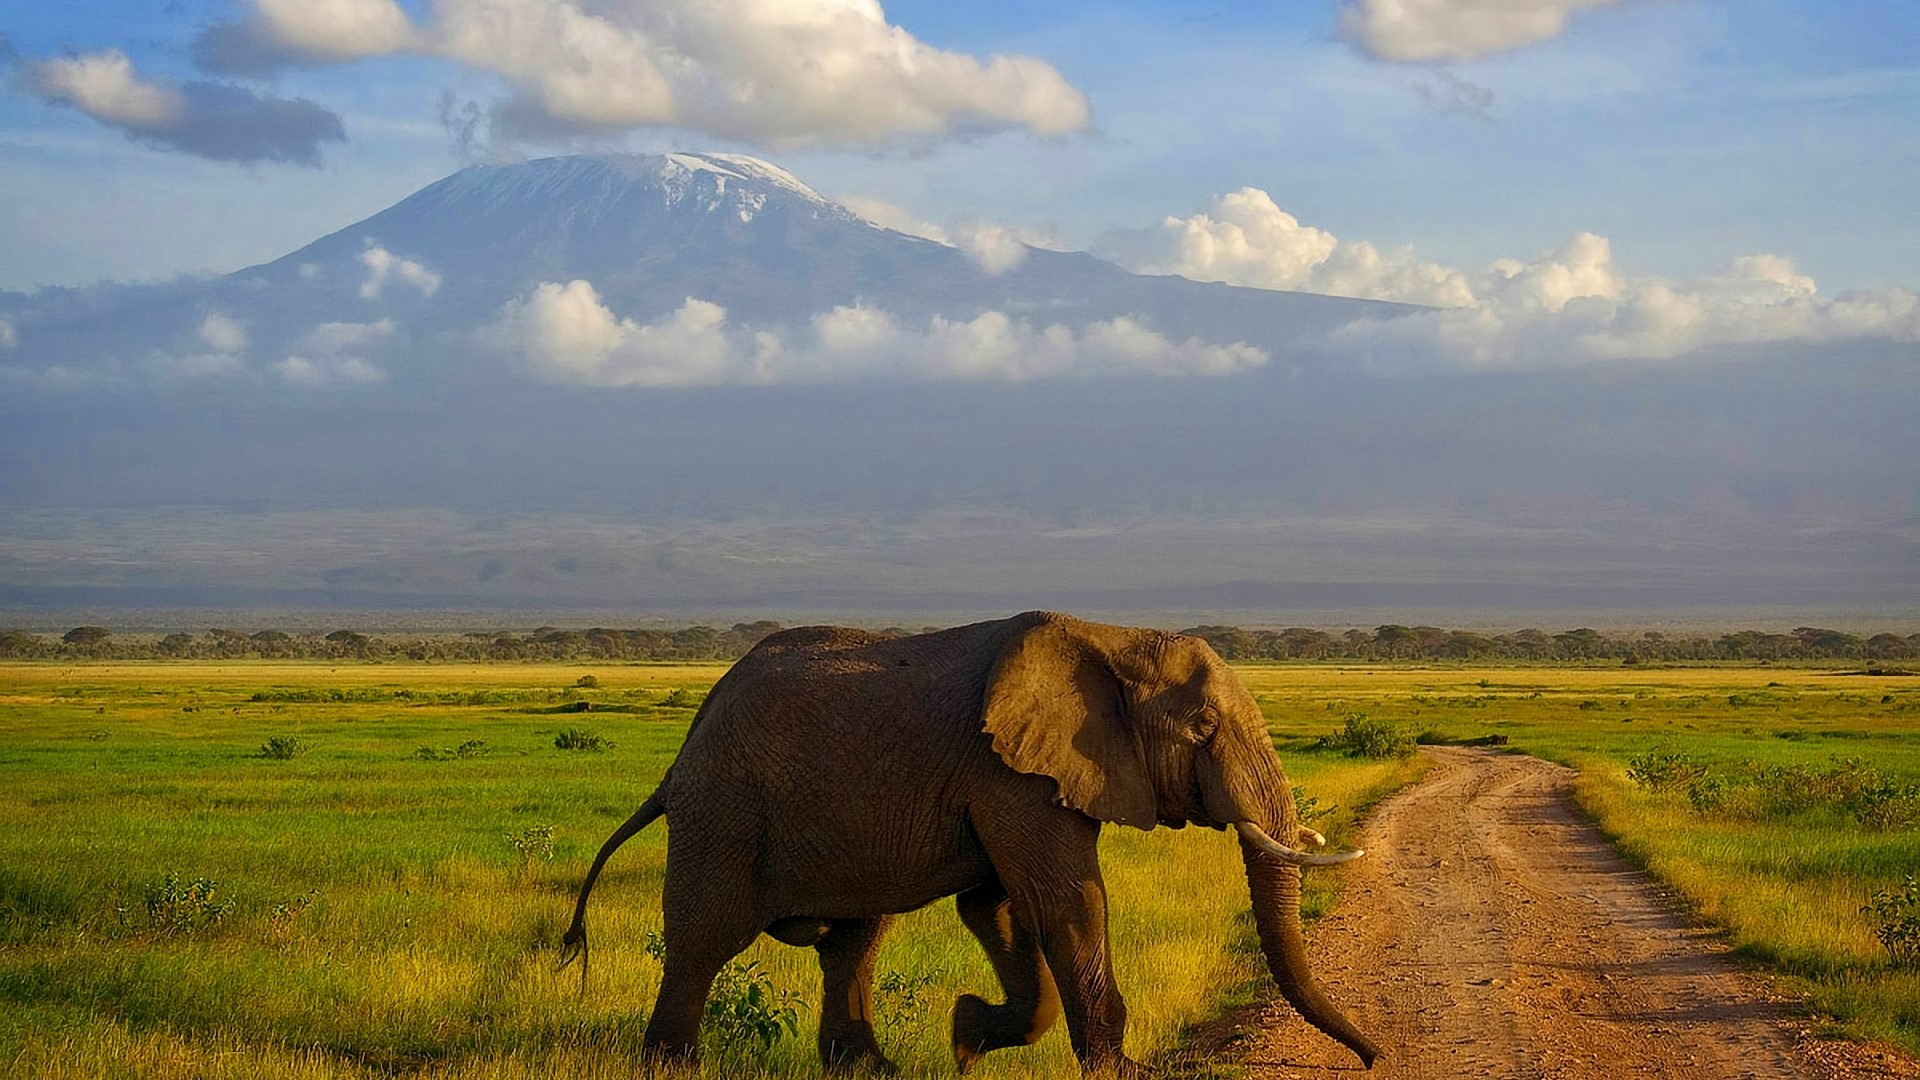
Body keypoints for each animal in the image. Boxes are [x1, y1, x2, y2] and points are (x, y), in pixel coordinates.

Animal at [560, 611, 1379, 1074]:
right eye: (1204, 726)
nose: (1373, 1057)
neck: (1115, 640)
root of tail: (686, 745)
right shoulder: (1008, 770)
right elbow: (1065, 903)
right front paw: (1123, 1070)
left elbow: (1000, 910)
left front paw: (964, 1036)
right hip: (724, 810)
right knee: (705, 938)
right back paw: (673, 1067)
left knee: (854, 940)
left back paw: (871, 1069)